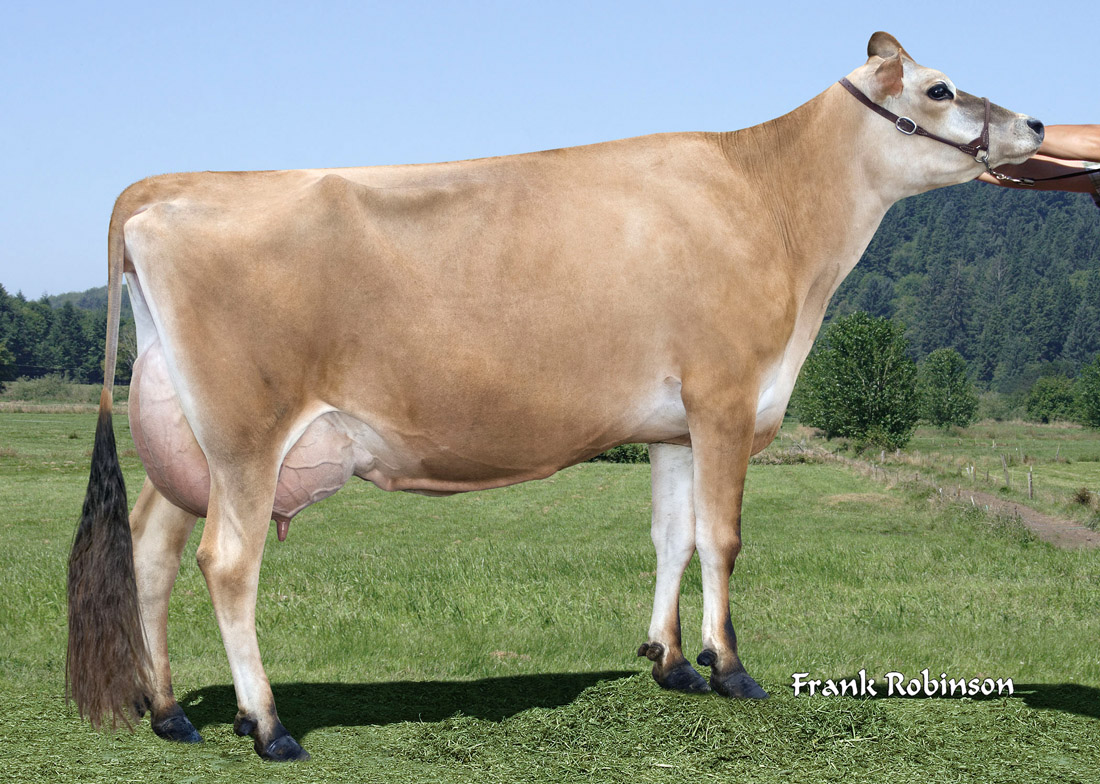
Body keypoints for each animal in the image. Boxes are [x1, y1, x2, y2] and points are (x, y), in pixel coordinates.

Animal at [67, 32, 1044, 761]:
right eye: (940, 88)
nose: (1035, 121)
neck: (771, 205)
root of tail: (168, 186)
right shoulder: (726, 398)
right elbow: (723, 538)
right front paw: (731, 671)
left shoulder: (673, 424)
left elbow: (672, 536)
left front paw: (668, 662)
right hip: (247, 434)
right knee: (227, 564)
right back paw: (267, 725)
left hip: (189, 435)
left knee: (152, 548)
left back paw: (170, 713)